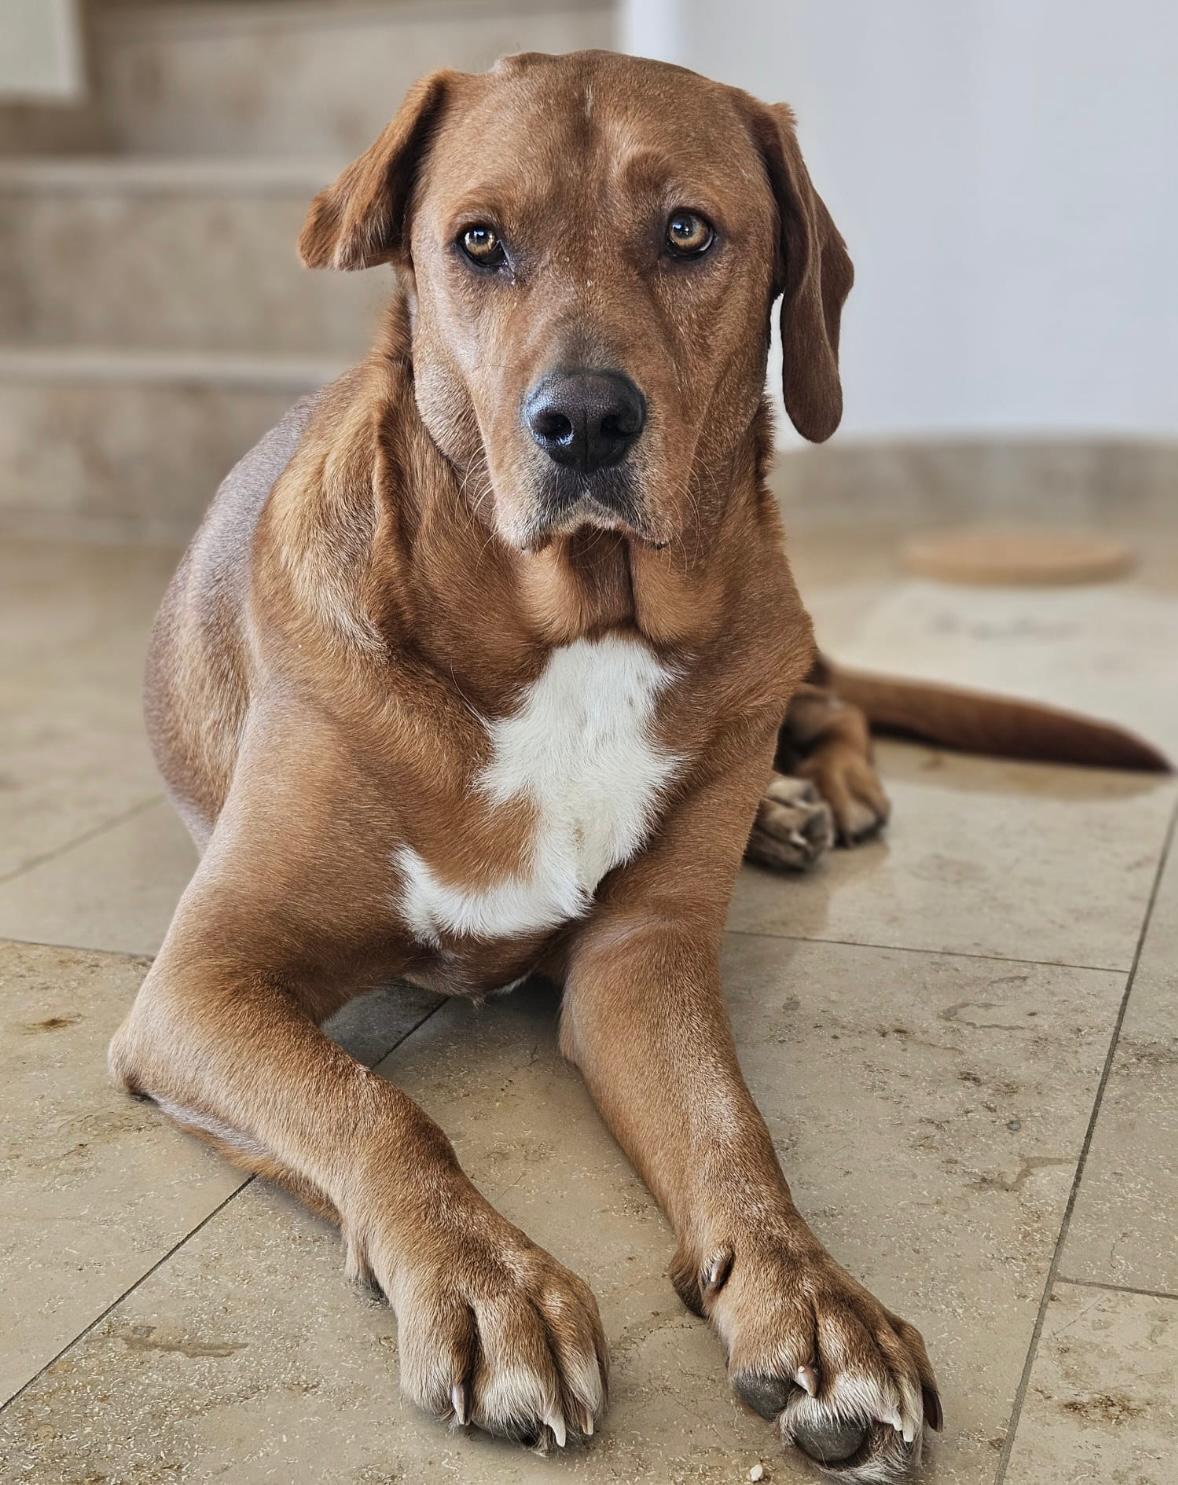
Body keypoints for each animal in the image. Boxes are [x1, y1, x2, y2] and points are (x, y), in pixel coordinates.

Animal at [110, 50, 1167, 1482]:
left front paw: (811, 1303)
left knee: (831, 706)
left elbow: (730, 1132)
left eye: (685, 232)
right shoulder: (201, 985)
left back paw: (814, 797)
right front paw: (488, 1281)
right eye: (477, 242)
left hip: (778, 627)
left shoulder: (639, 961)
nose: (583, 423)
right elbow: (374, 1109)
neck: (577, 630)